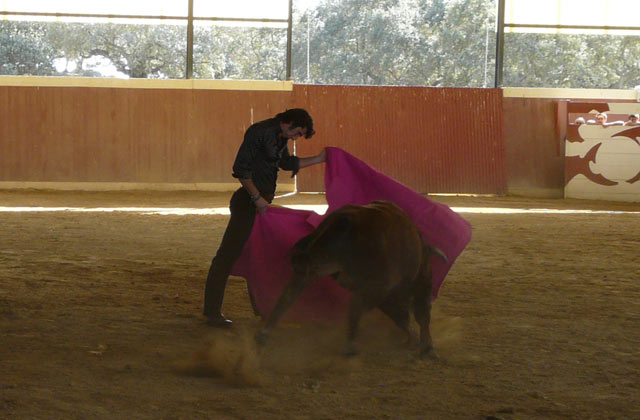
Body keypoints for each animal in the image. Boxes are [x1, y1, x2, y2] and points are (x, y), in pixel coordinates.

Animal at [255, 200, 444, 358]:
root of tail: (345, 220)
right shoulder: (398, 286)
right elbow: (417, 314)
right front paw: (425, 345)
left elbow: (399, 315)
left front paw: (414, 339)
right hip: (371, 282)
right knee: (357, 308)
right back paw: (351, 347)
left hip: (315, 266)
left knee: (289, 293)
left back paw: (264, 334)